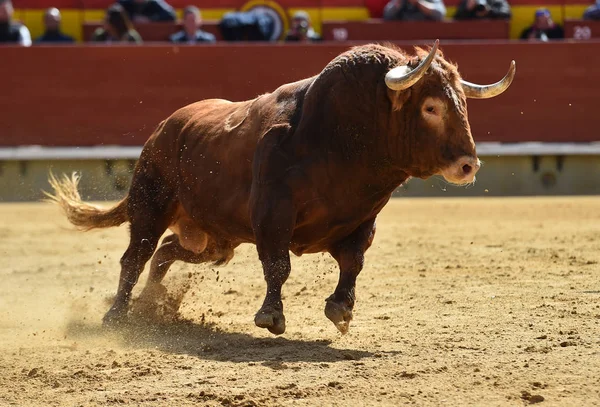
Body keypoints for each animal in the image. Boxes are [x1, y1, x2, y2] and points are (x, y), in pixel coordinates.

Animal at [47, 39, 516, 336]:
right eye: (431, 107)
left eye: (463, 103)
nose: (468, 164)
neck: (342, 139)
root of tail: (164, 129)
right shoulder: (273, 214)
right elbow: (278, 265)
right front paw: (271, 317)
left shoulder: (362, 218)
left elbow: (353, 262)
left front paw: (340, 310)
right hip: (151, 202)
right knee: (136, 255)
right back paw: (117, 316)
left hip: (214, 240)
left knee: (166, 251)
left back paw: (152, 306)